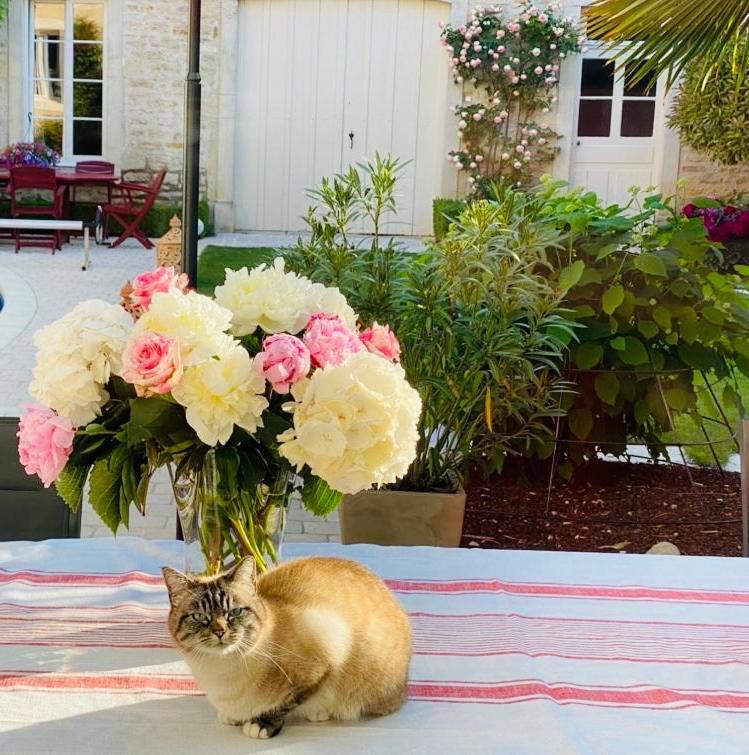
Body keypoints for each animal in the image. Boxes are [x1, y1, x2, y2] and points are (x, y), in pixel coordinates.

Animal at [161, 556, 412, 740]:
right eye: (199, 617)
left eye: (235, 612)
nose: (220, 631)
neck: (220, 671)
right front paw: (233, 717)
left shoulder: (325, 652)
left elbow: (286, 703)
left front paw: (261, 724)